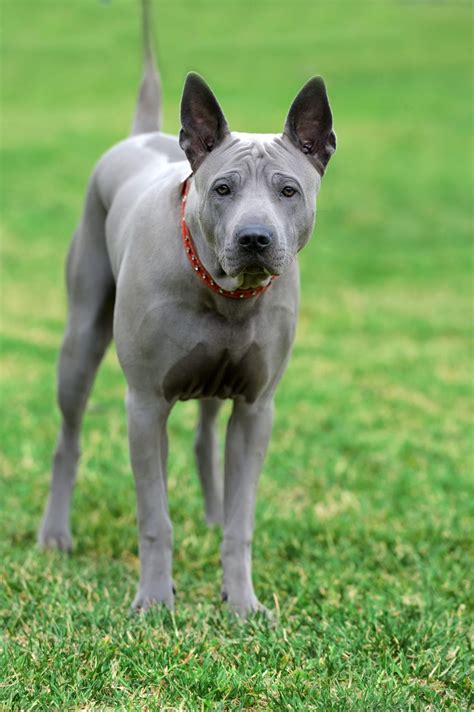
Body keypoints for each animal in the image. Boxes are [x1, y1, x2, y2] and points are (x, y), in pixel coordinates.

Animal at [39, 0, 336, 616]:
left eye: (288, 190)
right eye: (222, 188)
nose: (254, 238)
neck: (226, 294)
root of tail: (142, 135)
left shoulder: (257, 410)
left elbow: (243, 522)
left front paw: (243, 604)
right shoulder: (145, 405)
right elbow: (155, 518)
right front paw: (154, 601)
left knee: (204, 438)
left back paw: (213, 514)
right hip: (80, 342)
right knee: (68, 439)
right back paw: (54, 534)